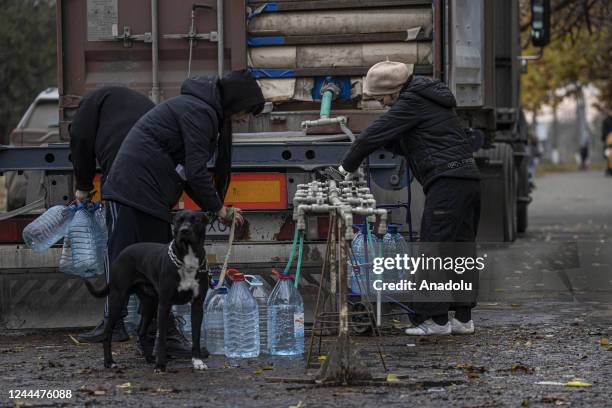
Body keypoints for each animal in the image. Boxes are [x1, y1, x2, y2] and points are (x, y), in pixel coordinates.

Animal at [83, 210, 209, 372]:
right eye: (178, 221)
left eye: (196, 220)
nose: (184, 230)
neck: (188, 259)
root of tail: (122, 253)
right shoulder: (165, 304)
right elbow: (161, 338)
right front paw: (161, 365)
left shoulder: (197, 305)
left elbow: (196, 336)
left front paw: (197, 361)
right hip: (118, 299)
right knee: (108, 332)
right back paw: (109, 362)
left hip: (150, 304)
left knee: (141, 332)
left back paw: (149, 358)